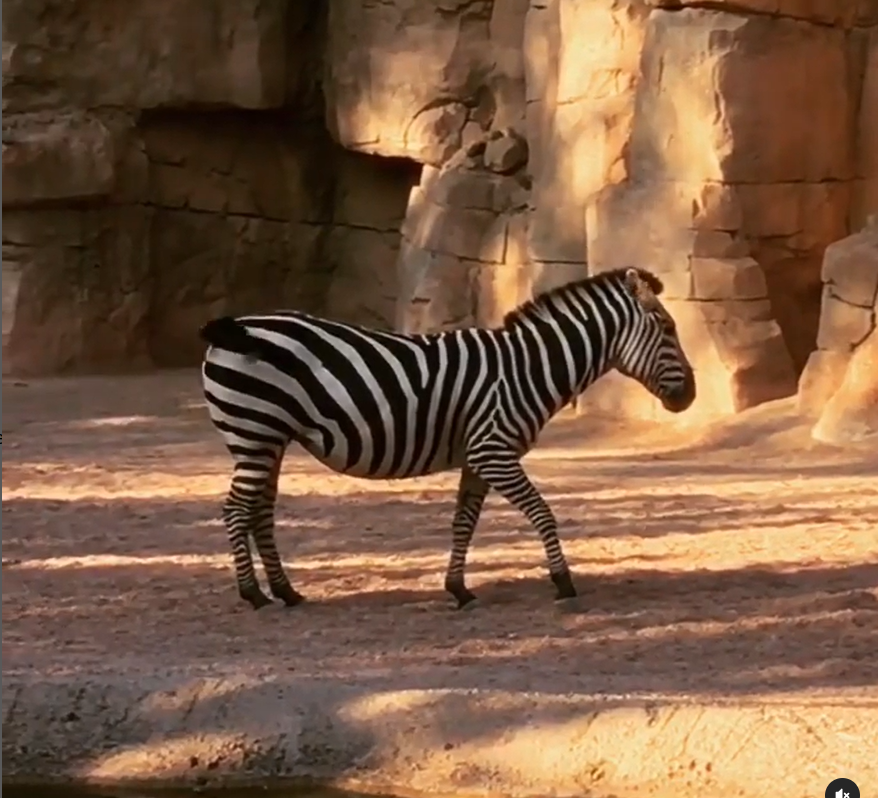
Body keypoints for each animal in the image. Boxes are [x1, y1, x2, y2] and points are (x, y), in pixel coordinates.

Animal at [203, 268, 696, 612]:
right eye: (667, 327)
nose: (690, 396)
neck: (527, 369)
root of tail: (238, 325)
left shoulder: (477, 458)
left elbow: (464, 523)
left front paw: (458, 588)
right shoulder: (494, 450)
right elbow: (543, 513)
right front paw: (563, 582)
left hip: (268, 438)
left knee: (259, 512)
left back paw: (286, 591)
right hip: (254, 432)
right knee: (236, 510)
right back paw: (253, 594)